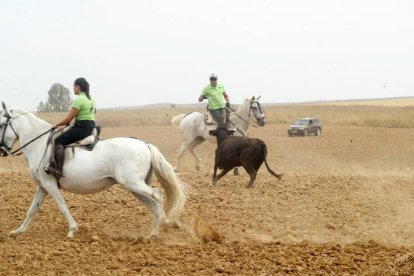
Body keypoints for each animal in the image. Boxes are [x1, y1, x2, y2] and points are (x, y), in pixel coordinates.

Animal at [0, 102, 186, 238]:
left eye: (2, 124)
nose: (2, 150)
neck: (39, 144)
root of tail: (145, 145)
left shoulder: (50, 184)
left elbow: (62, 206)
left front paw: (72, 230)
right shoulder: (43, 187)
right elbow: (32, 209)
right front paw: (19, 231)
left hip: (134, 184)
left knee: (158, 195)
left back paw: (164, 223)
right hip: (134, 187)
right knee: (152, 203)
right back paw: (152, 234)